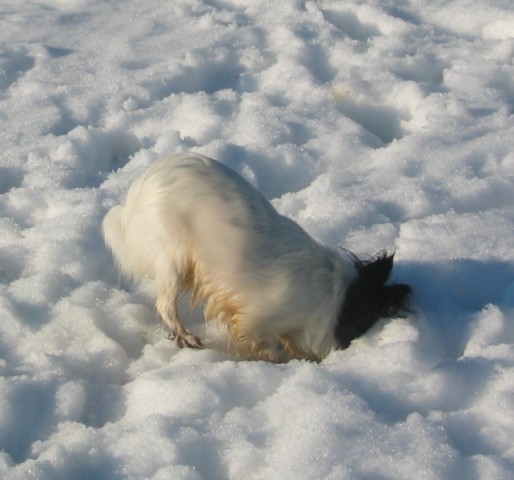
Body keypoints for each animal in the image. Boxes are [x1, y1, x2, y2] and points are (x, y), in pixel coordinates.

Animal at [103, 152, 408, 362]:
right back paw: (185, 336)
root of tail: (140, 187)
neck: (339, 296)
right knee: (165, 303)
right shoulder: (258, 320)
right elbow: (273, 346)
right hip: (175, 258)